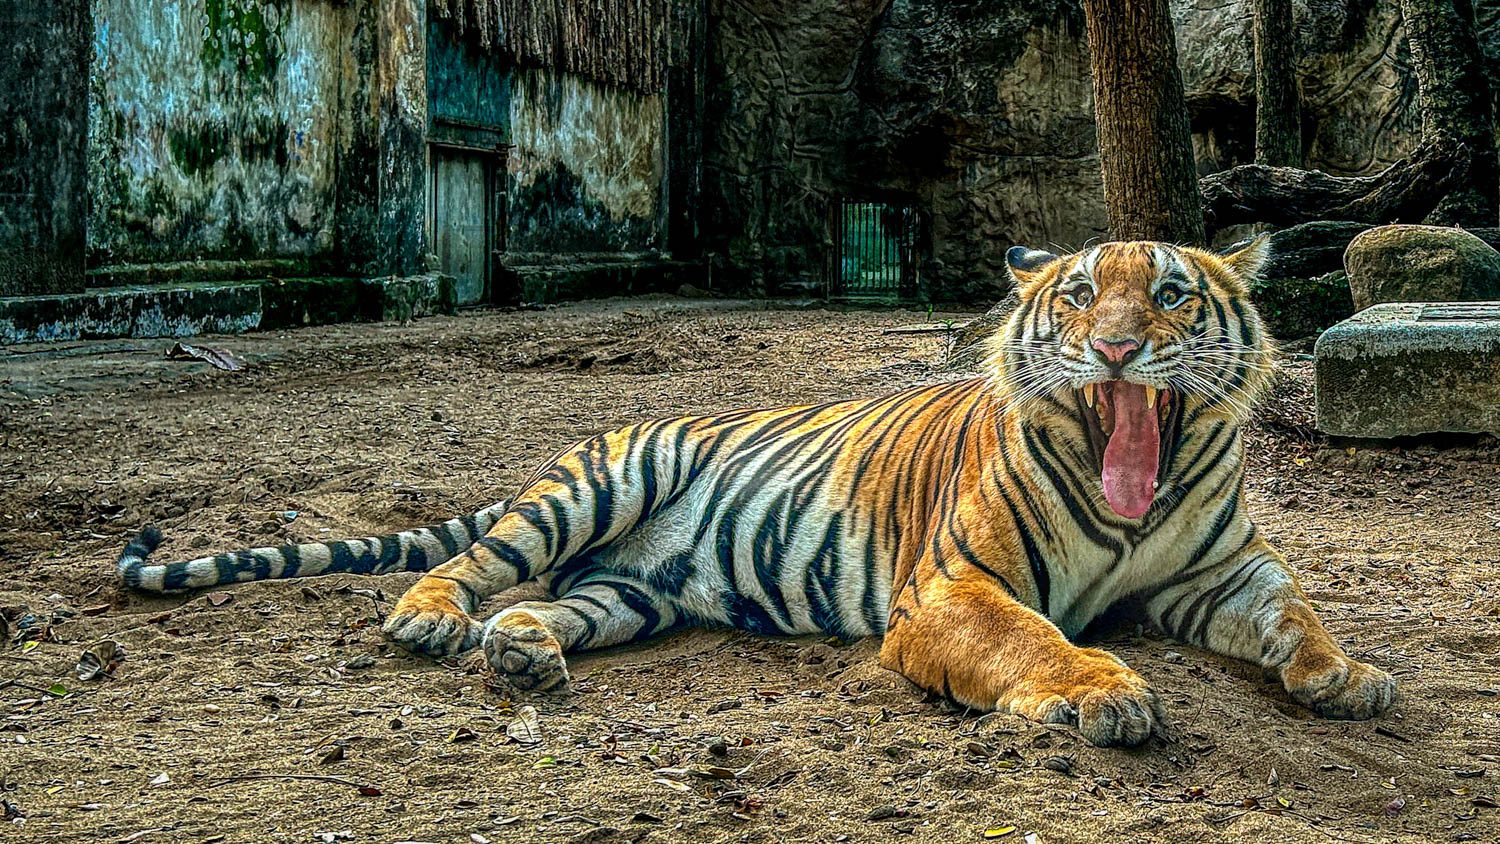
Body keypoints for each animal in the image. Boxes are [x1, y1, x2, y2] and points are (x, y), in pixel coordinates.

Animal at [117, 239, 1396, 747]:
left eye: (1173, 294)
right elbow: (1034, 640)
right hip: (595, 484)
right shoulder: (952, 589)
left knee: (550, 604)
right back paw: (434, 620)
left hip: (631, 590)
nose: (1121, 348)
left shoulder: (1223, 569)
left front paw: (1349, 677)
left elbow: (1297, 609)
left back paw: (522, 653)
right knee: (472, 560)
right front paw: (1102, 692)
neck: (1135, 496)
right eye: (1081, 296)